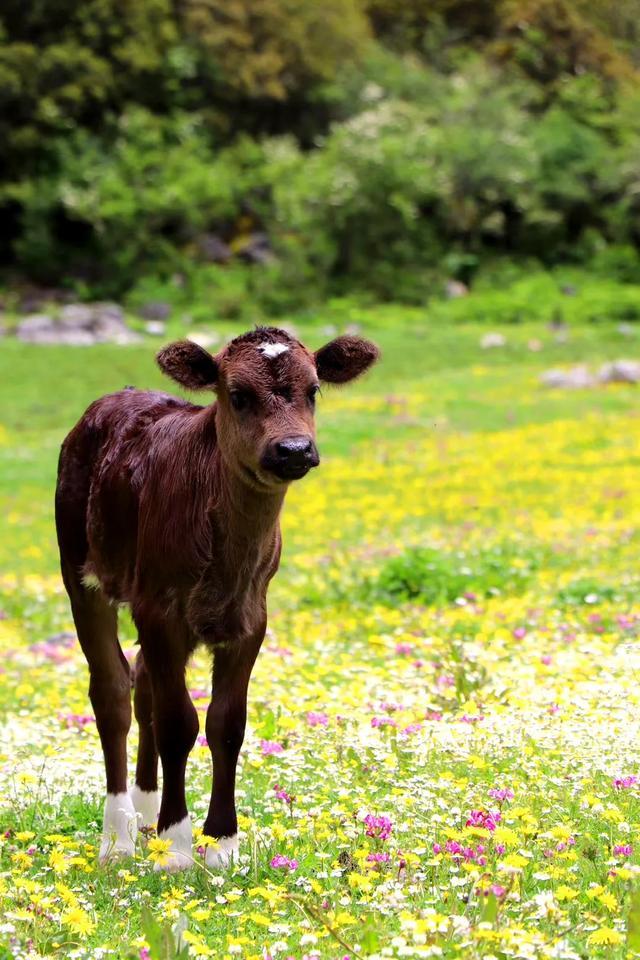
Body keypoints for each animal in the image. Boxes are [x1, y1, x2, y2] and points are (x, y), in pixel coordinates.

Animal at [55, 324, 378, 872]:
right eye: (238, 395)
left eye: (313, 389)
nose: (294, 449)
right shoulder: (160, 610)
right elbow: (178, 722)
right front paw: (178, 846)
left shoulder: (251, 617)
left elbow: (228, 723)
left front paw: (222, 844)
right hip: (82, 574)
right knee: (113, 691)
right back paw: (118, 836)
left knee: (142, 684)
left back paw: (145, 811)